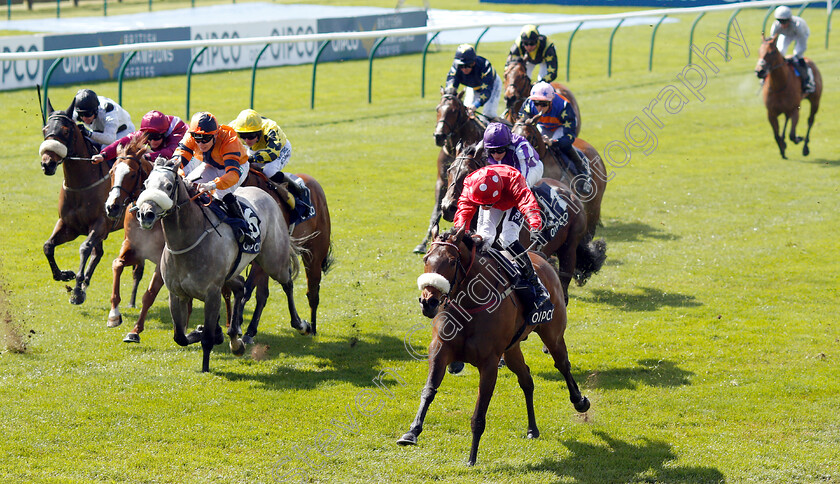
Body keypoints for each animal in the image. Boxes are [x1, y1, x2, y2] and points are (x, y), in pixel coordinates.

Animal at [39, 96, 123, 304]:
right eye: (45, 129)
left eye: (65, 130)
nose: (47, 164)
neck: (81, 185)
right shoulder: (69, 226)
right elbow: (48, 246)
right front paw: (65, 275)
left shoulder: (100, 224)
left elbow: (85, 248)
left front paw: (76, 289)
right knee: (98, 253)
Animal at [135, 157, 312, 372]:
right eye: (145, 184)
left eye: (168, 186)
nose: (146, 214)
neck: (188, 241)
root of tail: (267, 195)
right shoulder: (177, 294)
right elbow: (180, 337)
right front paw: (203, 331)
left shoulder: (212, 294)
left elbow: (207, 339)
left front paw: (205, 366)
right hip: (232, 274)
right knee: (241, 286)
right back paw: (235, 339)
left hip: (273, 261)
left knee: (287, 284)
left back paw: (301, 325)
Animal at [400, 227, 592, 466]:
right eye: (426, 259)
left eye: (452, 262)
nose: (429, 302)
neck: (469, 305)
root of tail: (542, 258)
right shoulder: (440, 351)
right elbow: (428, 390)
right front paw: (412, 432)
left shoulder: (489, 364)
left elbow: (480, 411)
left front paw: (472, 457)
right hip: (511, 350)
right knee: (526, 379)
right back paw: (532, 428)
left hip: (553, 334)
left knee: (563, 364)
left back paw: (579, 401)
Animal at [416, 87, 486, 255]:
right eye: (437, 109)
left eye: (454, 111)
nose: (439, 136)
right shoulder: (441, 182)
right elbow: (435, 214)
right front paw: (423, 243)